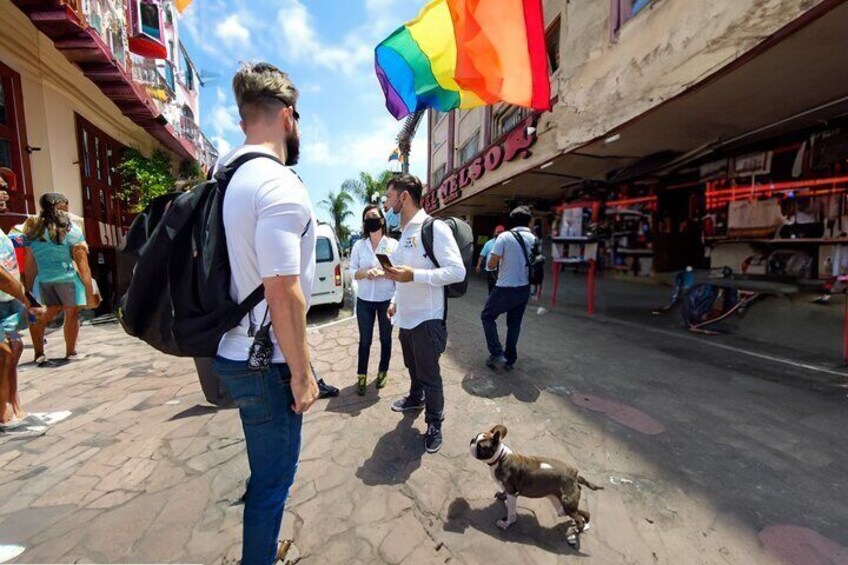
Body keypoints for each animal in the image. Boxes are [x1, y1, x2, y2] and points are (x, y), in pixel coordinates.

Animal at [470, 424, 604, 548]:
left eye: (481, 446)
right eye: (476, 437)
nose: (471, 441)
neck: (500, 457)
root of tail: (575, 476)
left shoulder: (512, 493)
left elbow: (511, 512)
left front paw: (507, 522)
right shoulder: (509, 491)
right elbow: (505, 494)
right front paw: (503, 497)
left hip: (566, 504)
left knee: (579, 519)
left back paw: (575, 531)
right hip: (563, 507)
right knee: (585, 514)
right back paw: (582, 528)